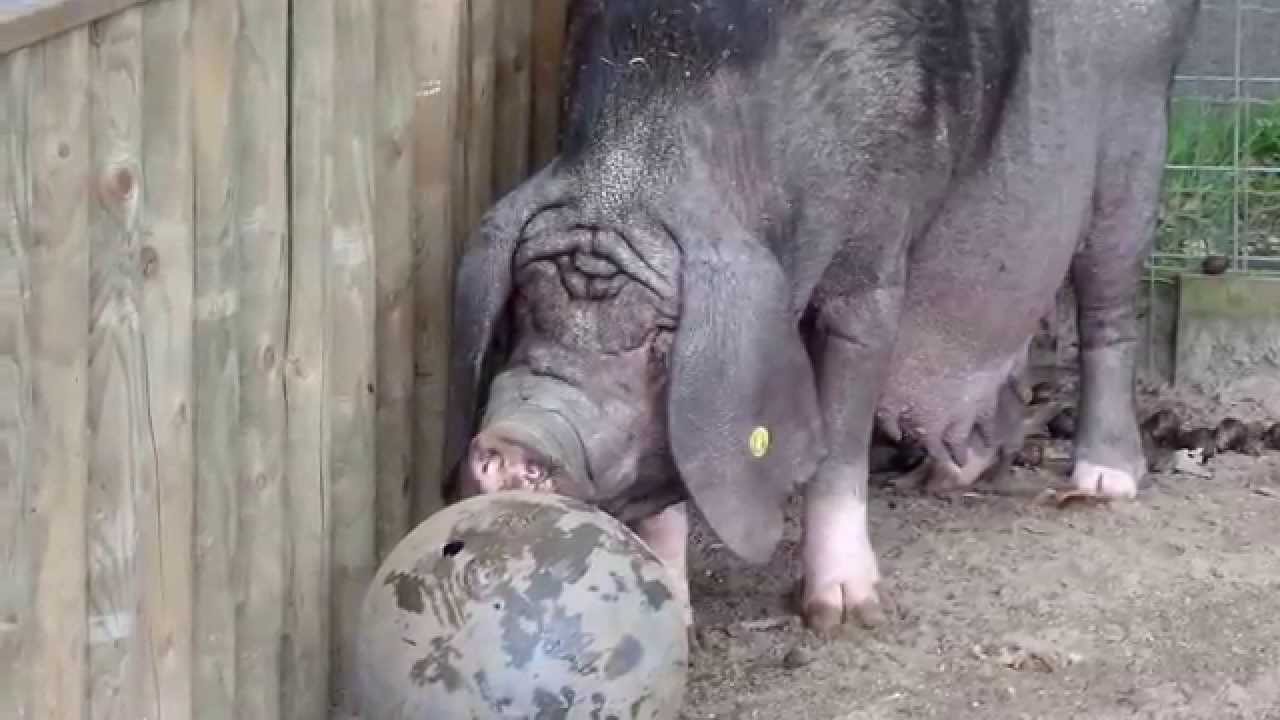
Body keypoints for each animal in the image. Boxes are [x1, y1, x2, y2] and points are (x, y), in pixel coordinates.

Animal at [441, 0, 1202, 635]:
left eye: (659, 338)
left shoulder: (873, 258)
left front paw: (842, 613)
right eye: (523, 303)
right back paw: (948, 475)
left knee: (1109, 302)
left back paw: (1102, 483)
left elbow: (840, 440)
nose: (513, 439)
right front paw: (674, 614)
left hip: (1136, 126)